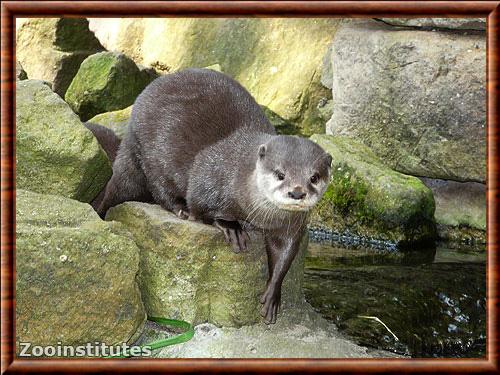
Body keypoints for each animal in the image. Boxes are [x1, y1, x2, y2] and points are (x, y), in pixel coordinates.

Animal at [97, 69, 332, 324]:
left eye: (314, 177)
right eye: (280, 174)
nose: (297, 192)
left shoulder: (291, 224)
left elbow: (285, 253)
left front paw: (272, 293)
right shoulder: (209, 176)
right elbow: (201, 204)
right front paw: (231, 227)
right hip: (152, 154)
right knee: (160, 188)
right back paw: (181, 208)